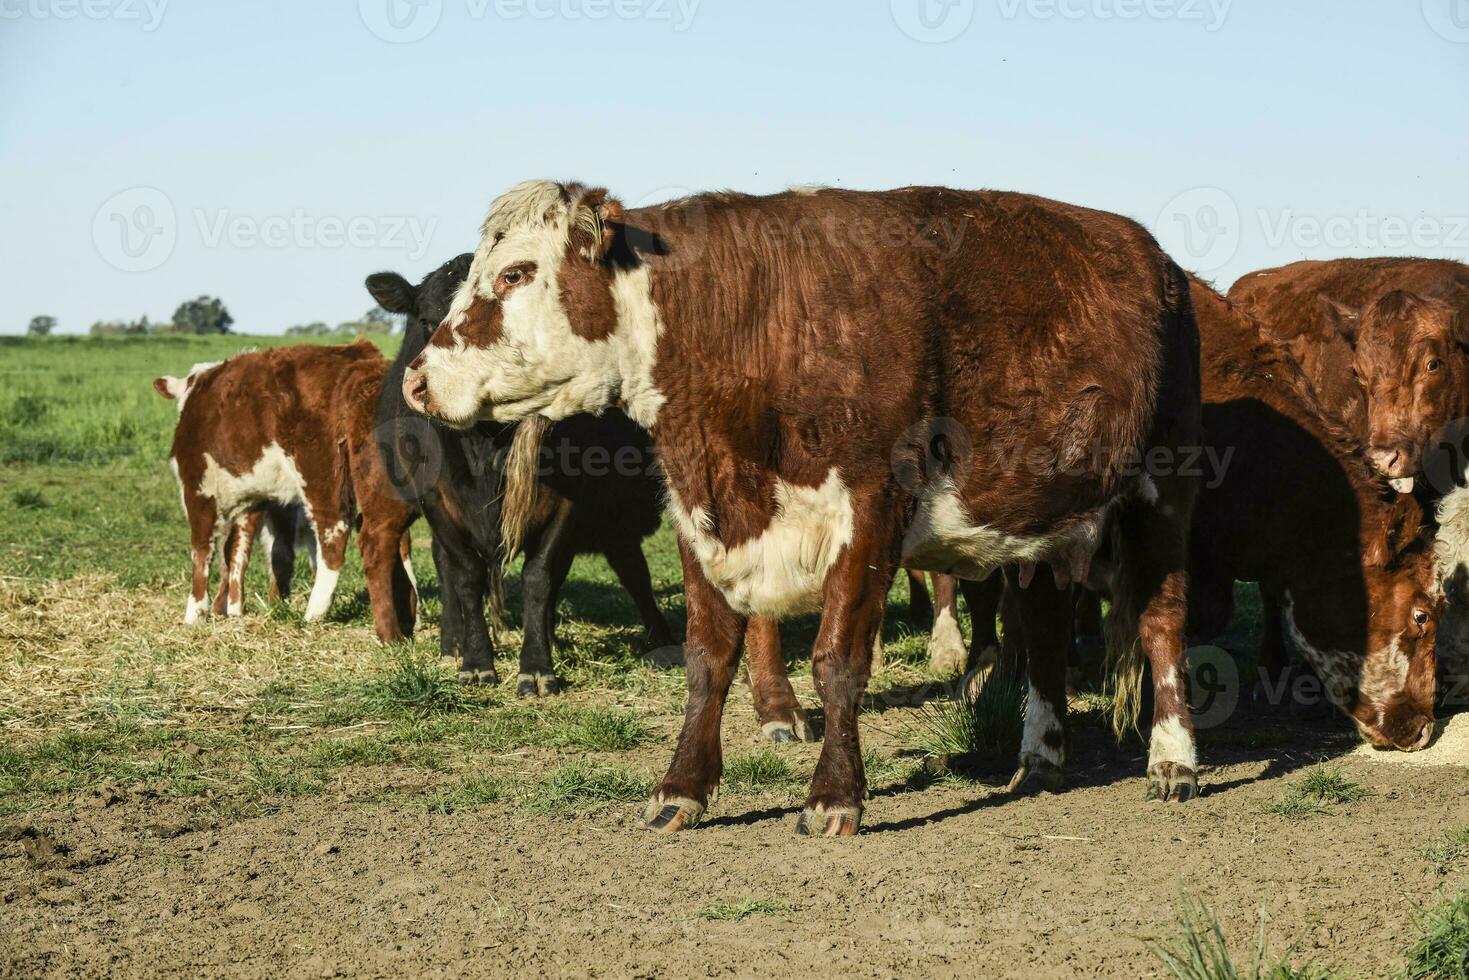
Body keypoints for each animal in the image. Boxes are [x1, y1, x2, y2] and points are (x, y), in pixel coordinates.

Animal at [156, 339, 420, 643]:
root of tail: (360, 357)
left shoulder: (197, 487)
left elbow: (202, 550)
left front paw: (195, 612)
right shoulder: (252, 498)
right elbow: (236, 551)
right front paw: (233, 610)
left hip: (318, 473)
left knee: (334, 534)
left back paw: (315, 612)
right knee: (397, 537)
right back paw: (412, 616)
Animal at [367, 255, 675, 696]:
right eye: (427, 320)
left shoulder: (568, 502)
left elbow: (540, 576)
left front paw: (537, 665)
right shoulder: (437, 501)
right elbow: (465, 576)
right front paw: (476, 662)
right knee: (446, 567)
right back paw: (451, 645)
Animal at [405, 178, 1204, 834]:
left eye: (515, 272)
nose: (416, 380)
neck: (751, 319)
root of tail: (1159, 261)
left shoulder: (872, 509)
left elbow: (837, 660)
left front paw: (833, 795)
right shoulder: (699, 514)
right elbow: (708, 659)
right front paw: (681, 787)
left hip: (1164, 492)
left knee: (1162, 622)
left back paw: (1173, 760)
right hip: (1037, 524)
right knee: (1041, 629)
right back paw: (1040, 756)